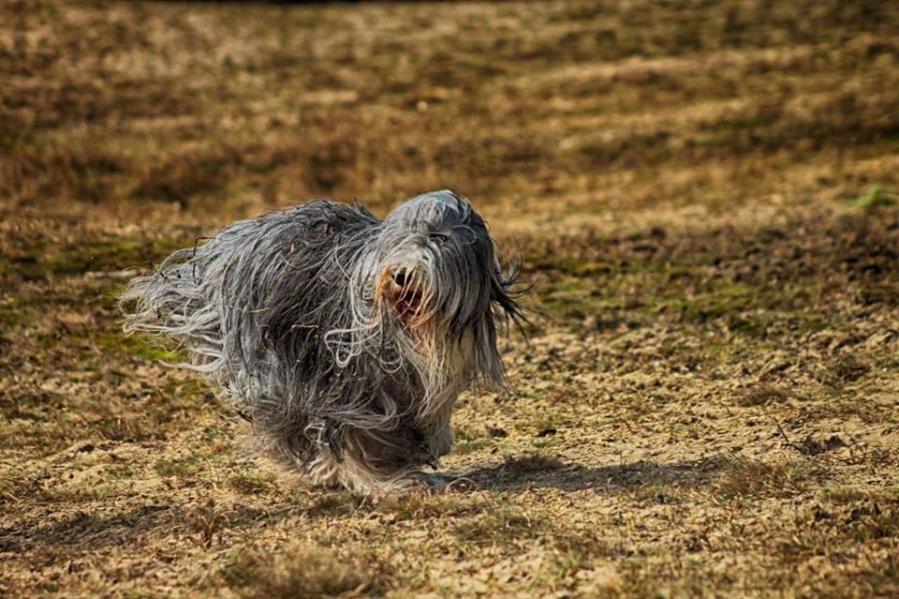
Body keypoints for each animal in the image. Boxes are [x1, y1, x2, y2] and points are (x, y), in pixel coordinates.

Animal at [123, 191, 524, 492]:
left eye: (439, 239)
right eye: (399, 241)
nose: (400, 275)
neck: (411, 333)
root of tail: (232, 241)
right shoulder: (345, 381)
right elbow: (354, 436)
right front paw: (384, 480)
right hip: (275, 361)